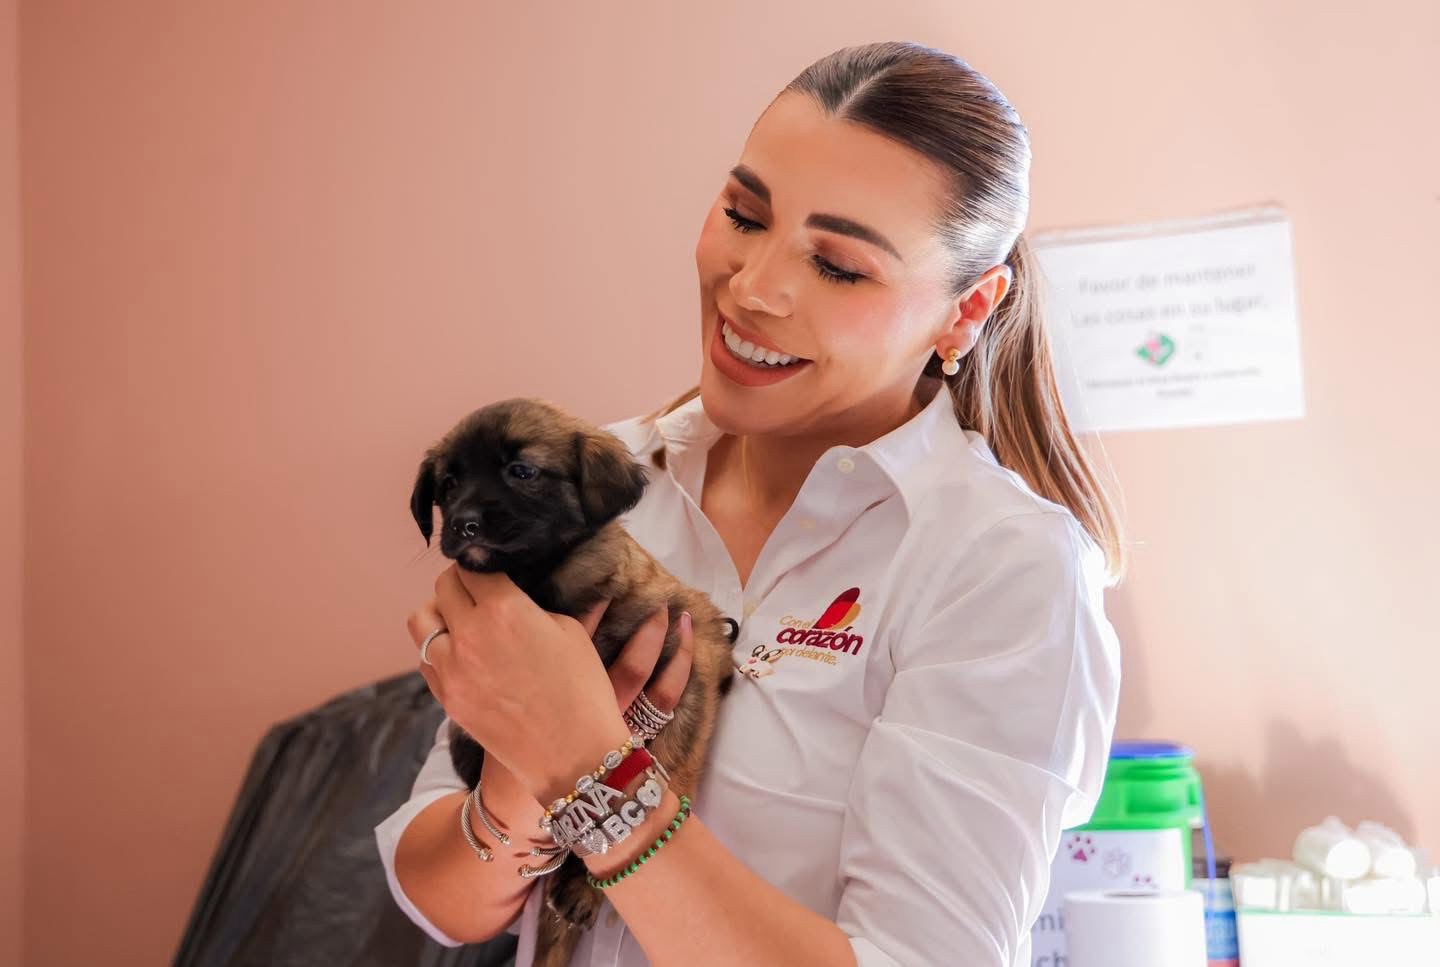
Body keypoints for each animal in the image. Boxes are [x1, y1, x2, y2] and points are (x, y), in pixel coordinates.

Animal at [409, 396, 737, 966]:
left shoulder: (687, 666)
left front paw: (584, 884)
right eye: (447, 484)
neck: (539, 585)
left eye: (523, 471)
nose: (465, 524)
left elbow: (645, 785)